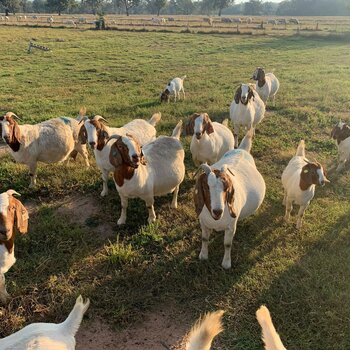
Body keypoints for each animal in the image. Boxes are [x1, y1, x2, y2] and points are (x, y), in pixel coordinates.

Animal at [194, 130, 266, 270]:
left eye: (226, 188)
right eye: (206, 187)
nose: (217, 211)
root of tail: (242, 149)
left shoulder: (231, 227)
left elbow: (227, 244)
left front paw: (226, 264)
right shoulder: (203, 223)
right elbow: (204, 239)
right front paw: (203, 256)